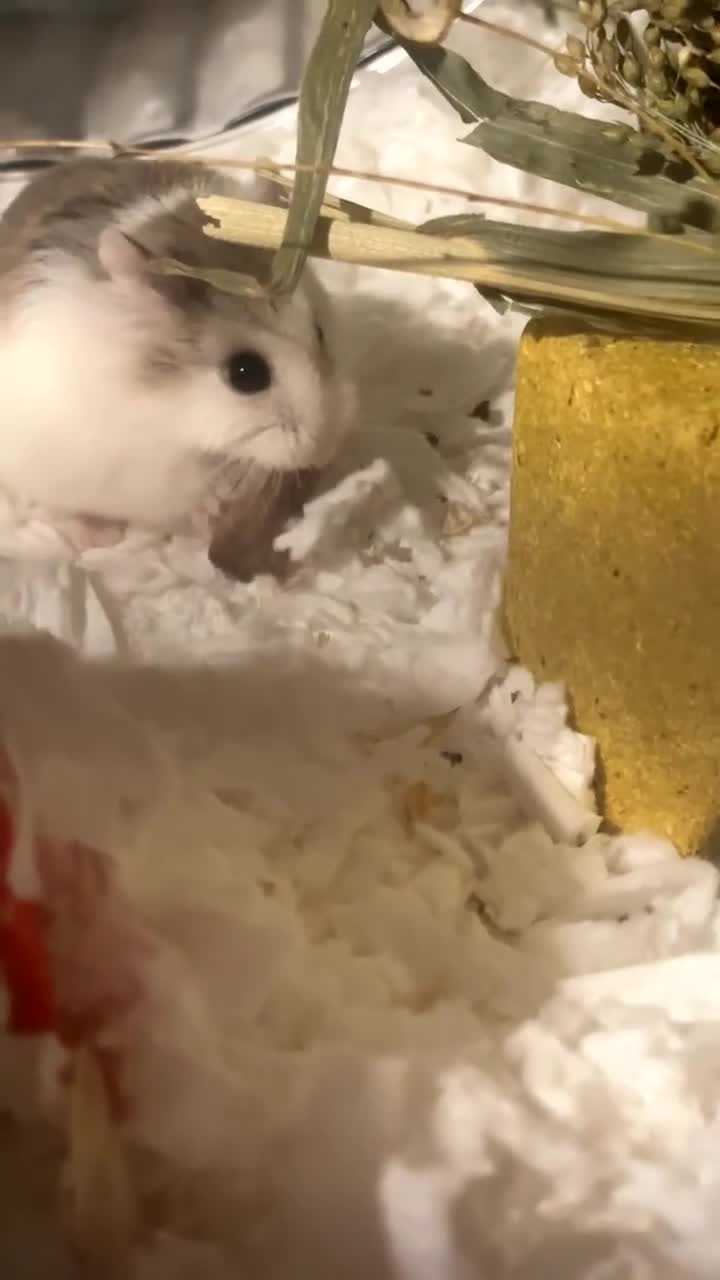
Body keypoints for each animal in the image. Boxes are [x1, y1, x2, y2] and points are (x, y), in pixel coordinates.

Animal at [0, 156, 354, 561]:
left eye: (321, 331)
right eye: (245, 373)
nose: (326, 450)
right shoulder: (149, 474)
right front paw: (211, 510)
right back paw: (98, 537)